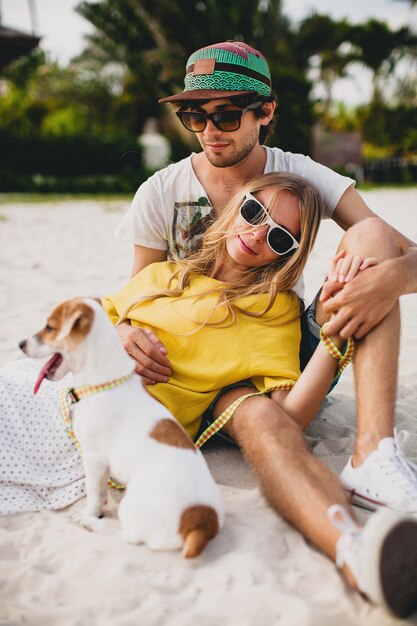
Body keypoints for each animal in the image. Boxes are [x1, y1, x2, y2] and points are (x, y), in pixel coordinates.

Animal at [18, 298, 224, 556]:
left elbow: (94, 493)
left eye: (49, 328)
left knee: (127, 537)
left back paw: (93, 523)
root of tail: (198, 525)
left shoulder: (93, 458)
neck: (106, 382)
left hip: (130, 504)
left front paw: (90, 513)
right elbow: (101, 491)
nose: (20, 344)